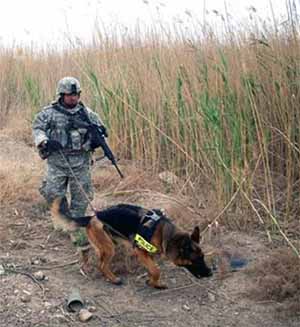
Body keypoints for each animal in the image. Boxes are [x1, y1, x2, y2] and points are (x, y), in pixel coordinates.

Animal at [51, 197, 211, 290]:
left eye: (203, 257)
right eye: (196, 260)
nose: (210, 273)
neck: (167, 235)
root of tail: (93, 216)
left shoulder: (148, 254)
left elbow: (152, 269)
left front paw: (152, 282)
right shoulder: (140, 251)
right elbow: (156, 270)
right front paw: (155, 283)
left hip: (108, 242)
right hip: (109, 248)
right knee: (101, 265)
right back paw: (114, 279)